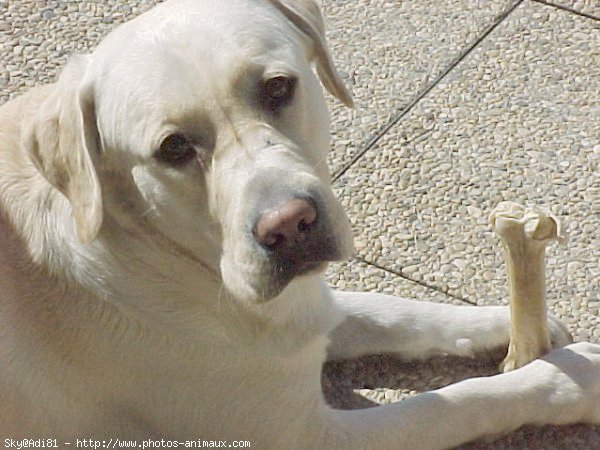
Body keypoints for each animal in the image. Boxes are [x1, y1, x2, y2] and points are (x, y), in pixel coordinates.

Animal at [0, 0, 596, 446]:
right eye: (173, 148)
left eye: (277, 87)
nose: (288, 226)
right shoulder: (309, 435)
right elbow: (452, 403)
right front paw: (569, 380)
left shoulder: (298, 315)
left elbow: (388, 309)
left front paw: (505, 323)